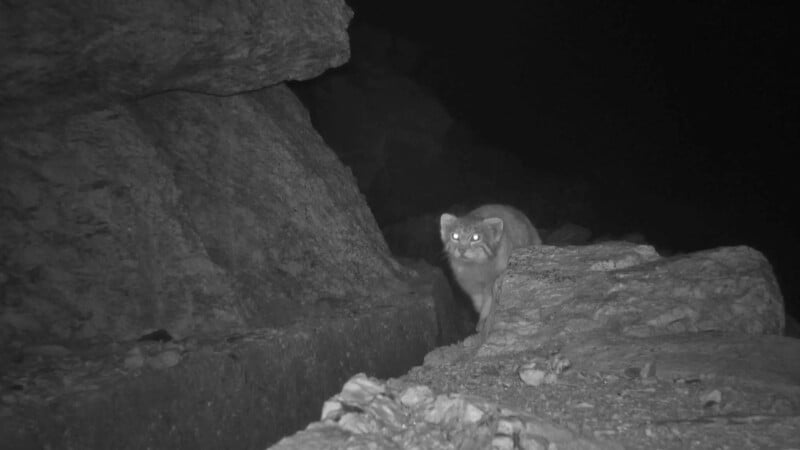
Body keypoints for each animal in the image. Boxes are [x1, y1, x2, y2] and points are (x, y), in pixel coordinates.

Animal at [438, 204, 544, 334]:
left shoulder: (494, 281)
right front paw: (481, 321)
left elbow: (488, 303)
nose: (462, 250)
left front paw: (483, 320)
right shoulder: (472, 289)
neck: (477, 267)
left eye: (475, 237)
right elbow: (479, 303)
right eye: (455, 236)